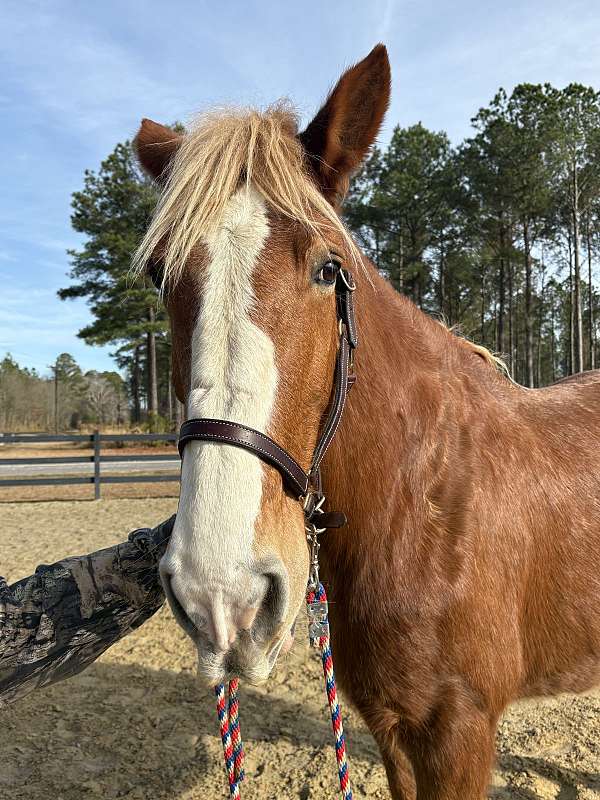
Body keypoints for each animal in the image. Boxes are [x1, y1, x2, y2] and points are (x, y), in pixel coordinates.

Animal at [131, 45, 600, 800]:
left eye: (329, 268)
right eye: (159, 274)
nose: (221, 596)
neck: (424, 500)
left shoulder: (459, 731)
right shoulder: (391, 726)